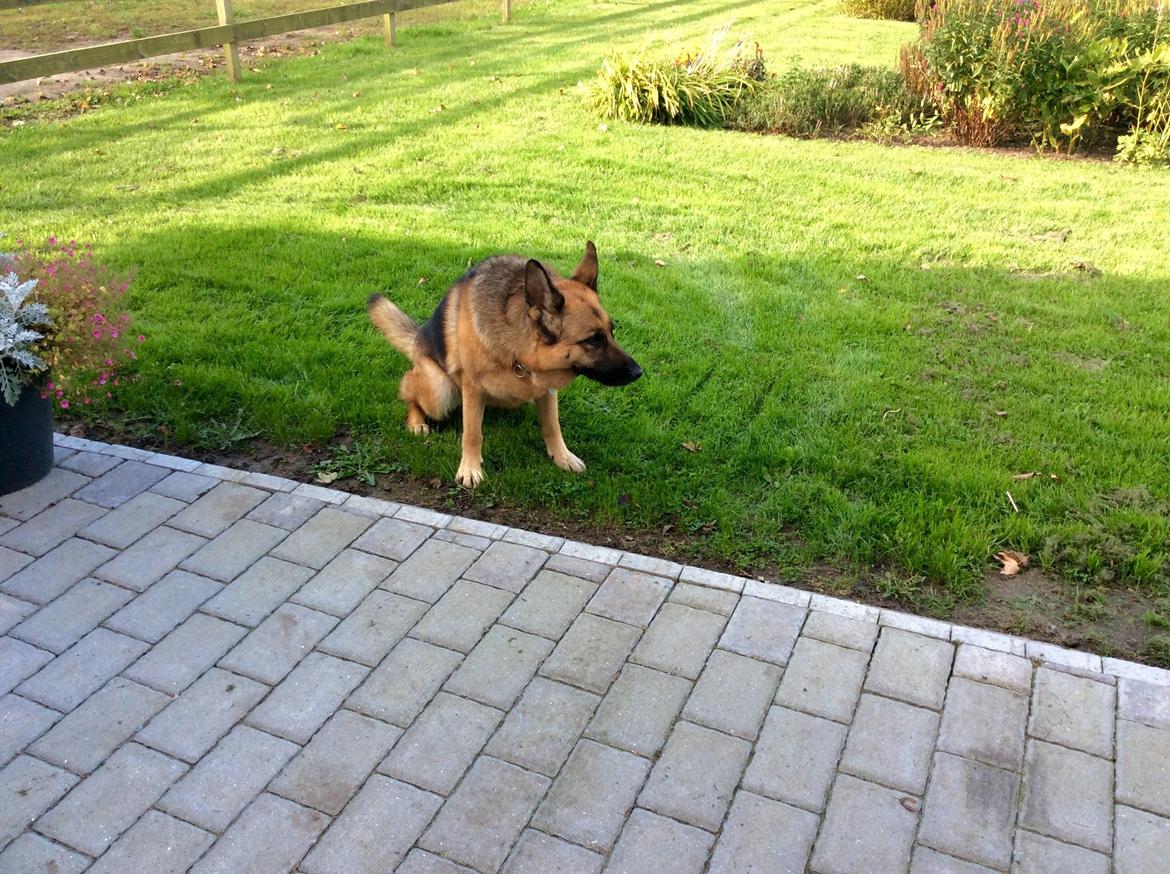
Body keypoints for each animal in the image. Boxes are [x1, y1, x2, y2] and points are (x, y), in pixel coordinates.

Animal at [367, 242, 641, 489]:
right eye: (593, 340)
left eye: (611, 331)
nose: (639, 372)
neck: (517, 355)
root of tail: (417, 339)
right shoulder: (472, 388)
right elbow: (472, 433)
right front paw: (470, 468)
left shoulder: (547, 389)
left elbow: (552, 426)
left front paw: (562, 457)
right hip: (439, 389)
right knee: (411, 394)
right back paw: (417, 422)